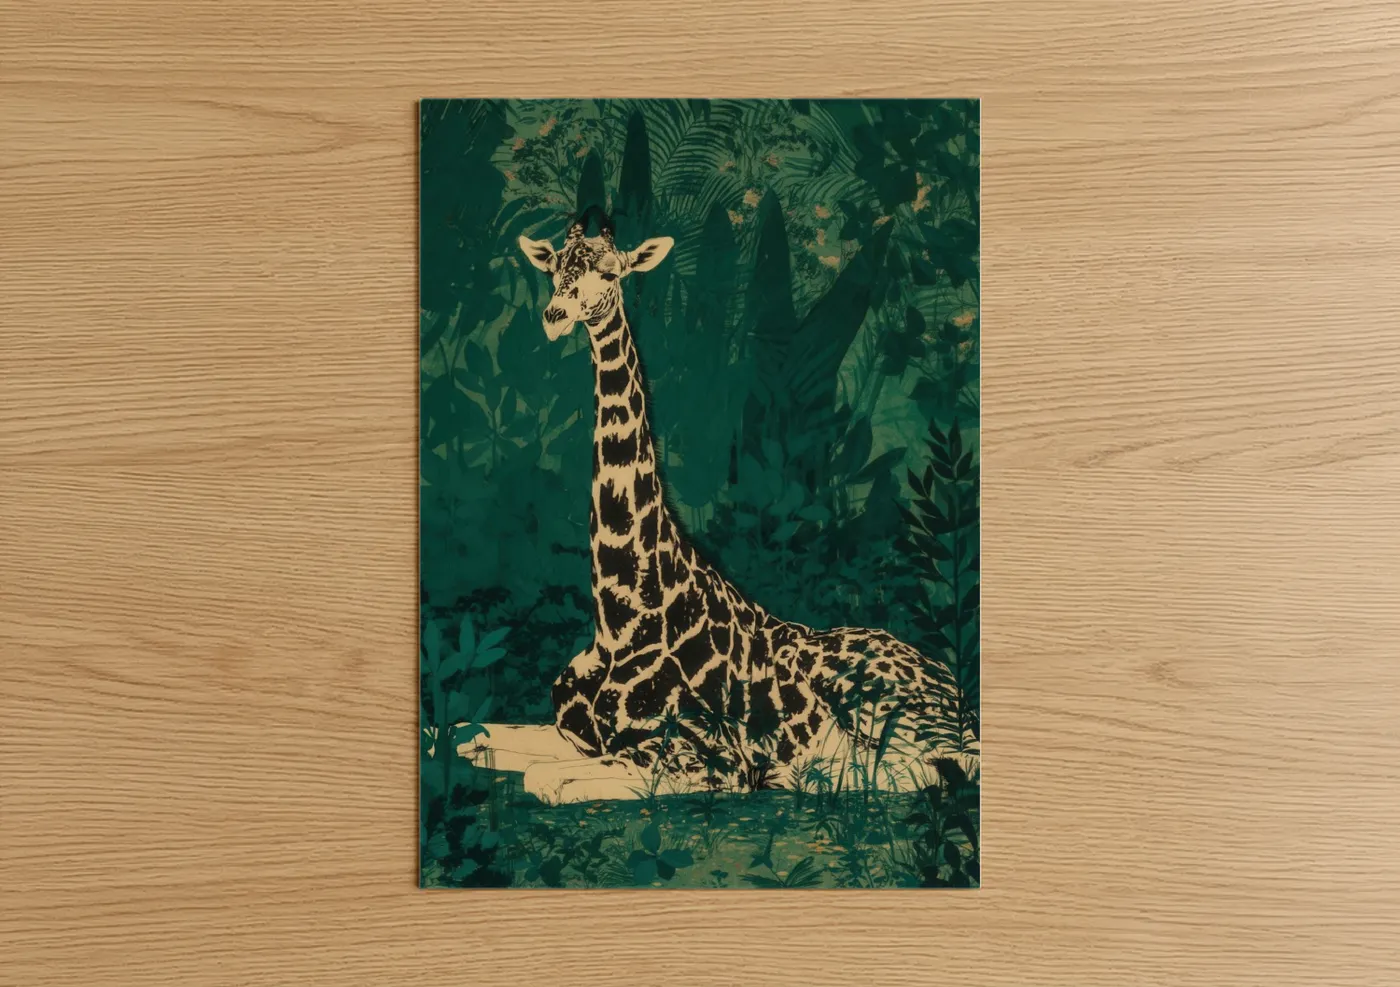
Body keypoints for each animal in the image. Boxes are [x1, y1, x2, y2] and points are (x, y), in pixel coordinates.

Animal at [513, 212, 975, 804]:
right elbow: (482, 739)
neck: (620, 619)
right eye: (553, 269)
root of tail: (954, 683)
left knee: (922, 767)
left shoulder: (704, 757)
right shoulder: (578, 735)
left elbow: (545, 780)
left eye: (611, 271)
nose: (555, 317)